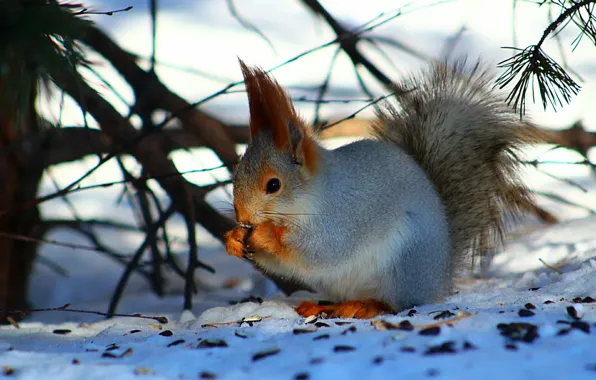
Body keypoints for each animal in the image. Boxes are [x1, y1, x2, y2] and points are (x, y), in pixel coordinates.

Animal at [224, 58, 540, 320]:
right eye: (236, 174)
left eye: (273, 185)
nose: (242, 216)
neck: (310, 197)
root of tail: (440, 275)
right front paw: (234, 239)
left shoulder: (344, 216)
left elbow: (321, 251)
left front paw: (266, 235)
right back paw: (322, 306)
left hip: (403, 264)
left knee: (398, 303)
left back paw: (366, 306)